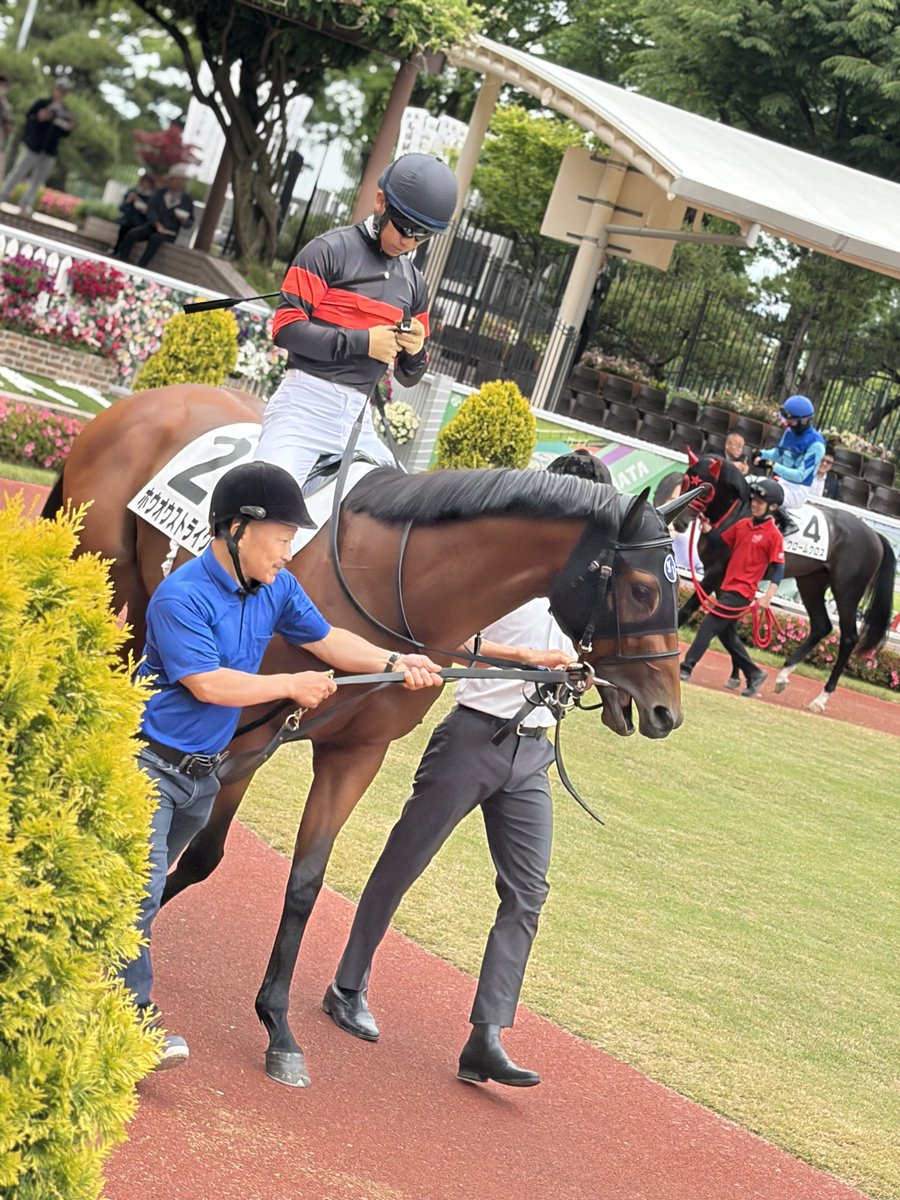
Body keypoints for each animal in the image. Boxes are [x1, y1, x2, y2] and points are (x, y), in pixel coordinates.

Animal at [43, 383, 696, 1087]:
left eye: (678, 592)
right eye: (641, 589)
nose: (665, 710)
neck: (393, 581)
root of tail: (139, 401)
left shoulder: (355, 753)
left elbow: (300, 882)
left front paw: (278, 1028)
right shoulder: (242, 733)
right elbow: (196, 846)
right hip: (118, 594)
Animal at [674, 452, 896, 711]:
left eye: (705, 488)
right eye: (685, 482)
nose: (678, 522)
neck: (737, 513)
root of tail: (874, 535)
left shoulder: (717, 572)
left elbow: (691, 611)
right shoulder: (726, 577)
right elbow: (727, 624)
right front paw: (741, 676)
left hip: (847, 592)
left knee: (849, 638)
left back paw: (821, 698)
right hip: (811, 582)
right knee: (821, 626)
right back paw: (783, 676)